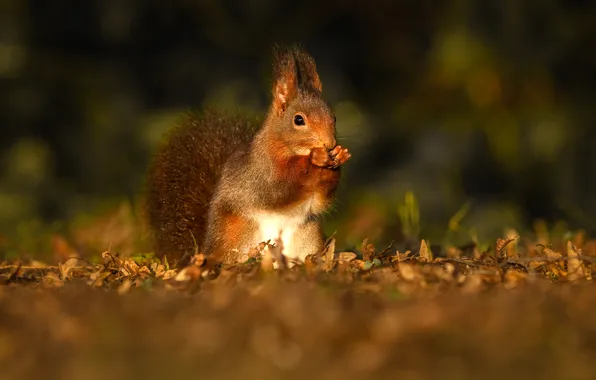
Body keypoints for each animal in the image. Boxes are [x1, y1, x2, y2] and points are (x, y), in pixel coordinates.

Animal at [145, 46, 350, 266]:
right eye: (298, 120)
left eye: (334, 117)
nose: (329, 143)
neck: (286, 149)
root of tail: (207, 250)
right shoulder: (260, 175)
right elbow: (278, 190)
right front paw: (314, 159)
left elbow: (320, 201)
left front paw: (338, 157)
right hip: (239, 233)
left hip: (307, 235)